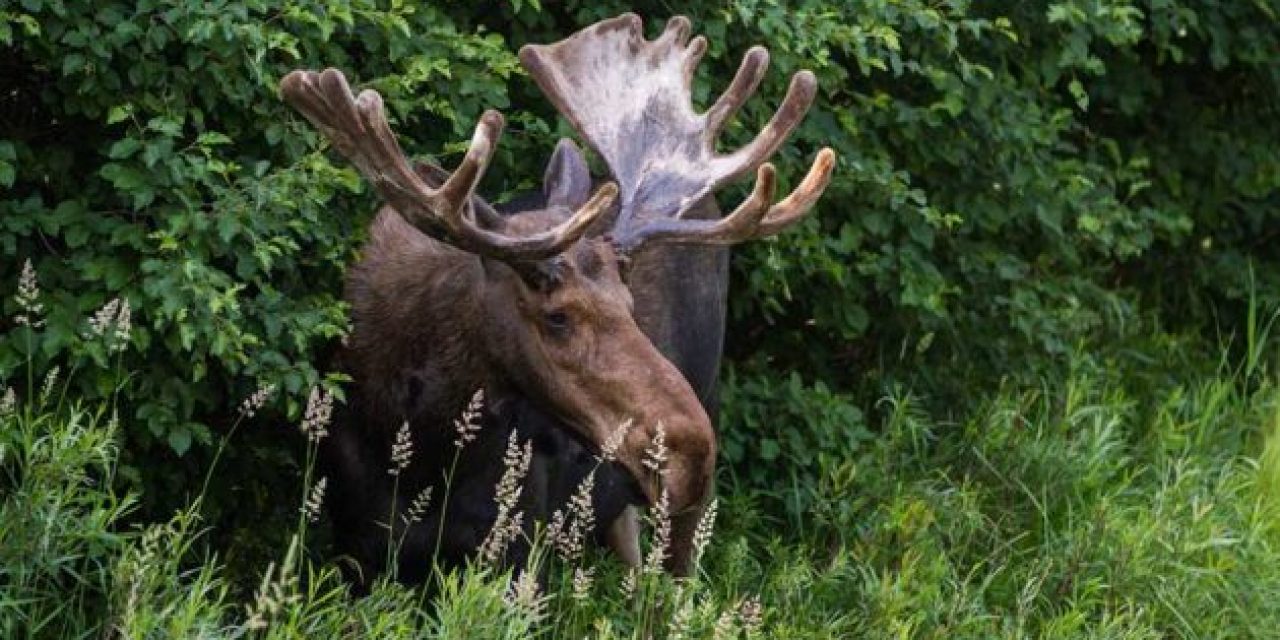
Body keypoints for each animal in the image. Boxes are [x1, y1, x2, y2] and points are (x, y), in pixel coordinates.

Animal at [281, 12, 834, 586]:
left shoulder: (517, 548)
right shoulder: (356, 553)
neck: (412, 431)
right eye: (557, 316)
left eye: (629, 304)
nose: (691, 455)